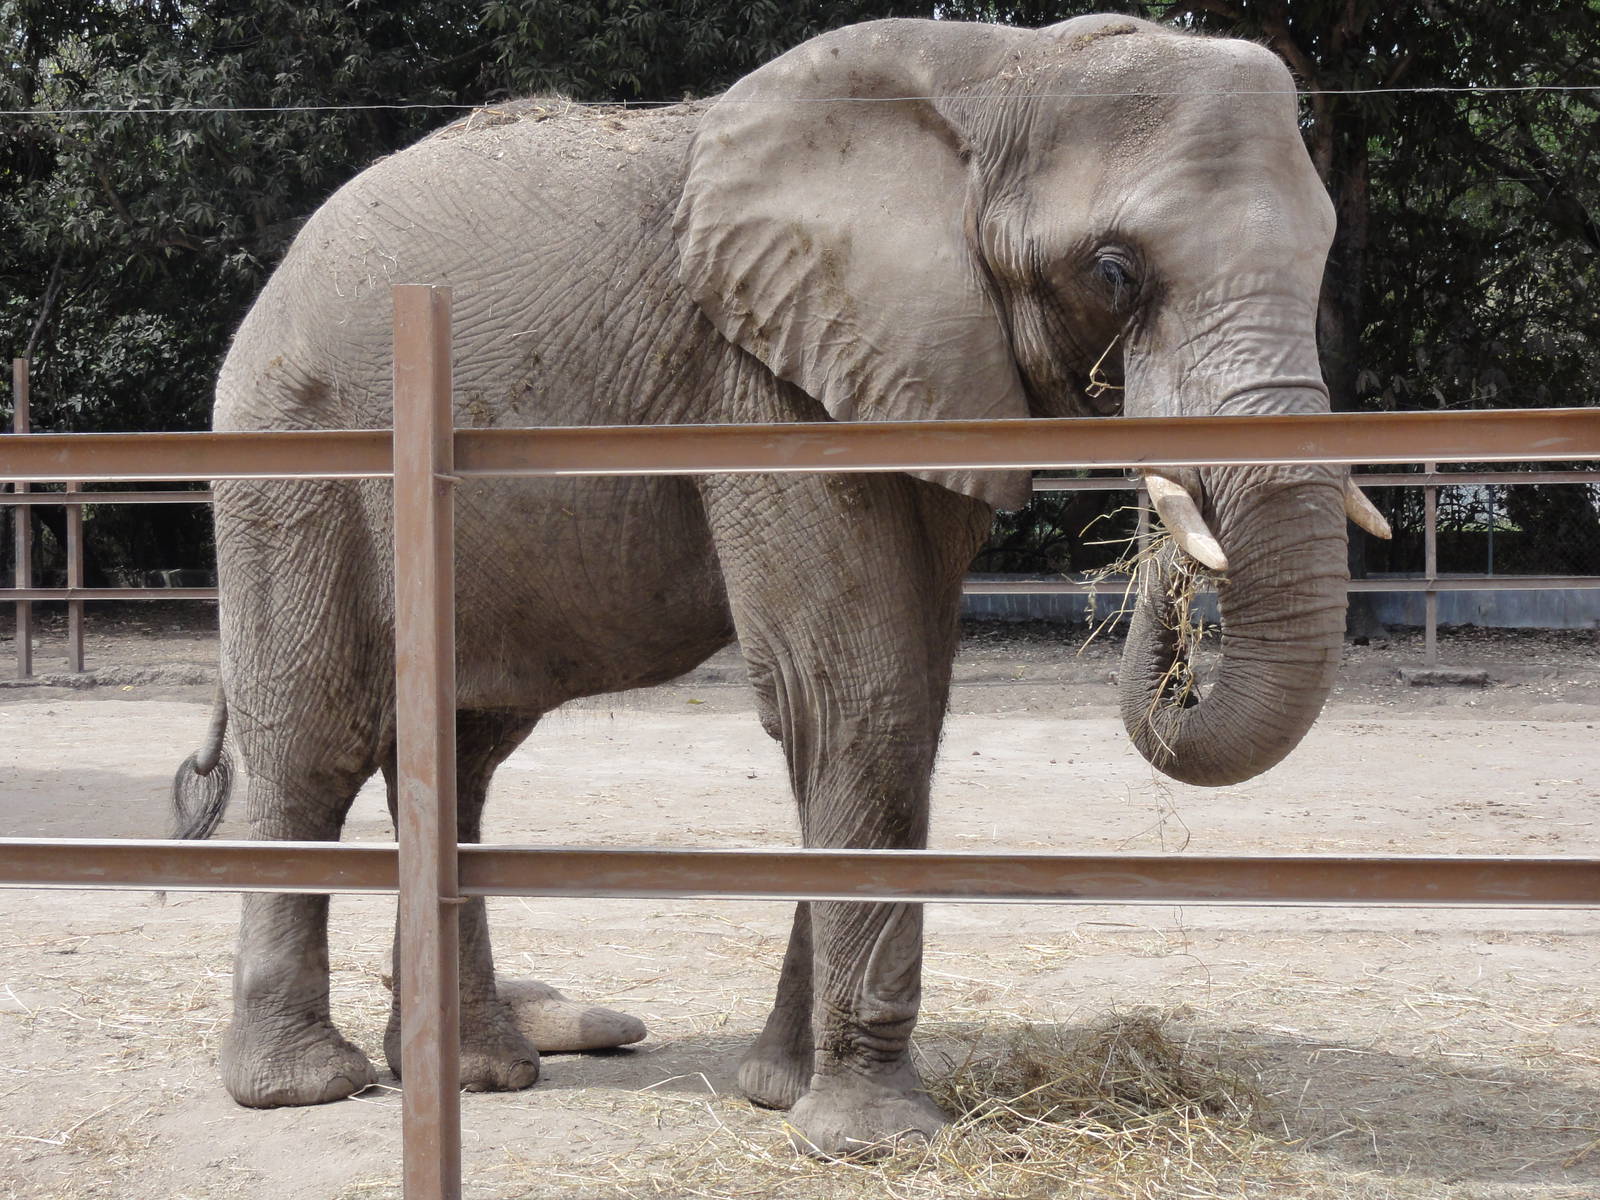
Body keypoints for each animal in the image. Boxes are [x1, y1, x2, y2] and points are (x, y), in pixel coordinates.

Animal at [172, 14, 1389, 1157]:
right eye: (1114, 272)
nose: (1166, 581)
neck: (1004, 68)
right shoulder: (765, 381)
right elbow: (858, 696)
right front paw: (874, 1138)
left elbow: (906, 703)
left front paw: (778, 1092)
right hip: (296, 459)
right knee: (318, 735)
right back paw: (305, 1087)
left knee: (460, 750)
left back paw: (477, 1071)